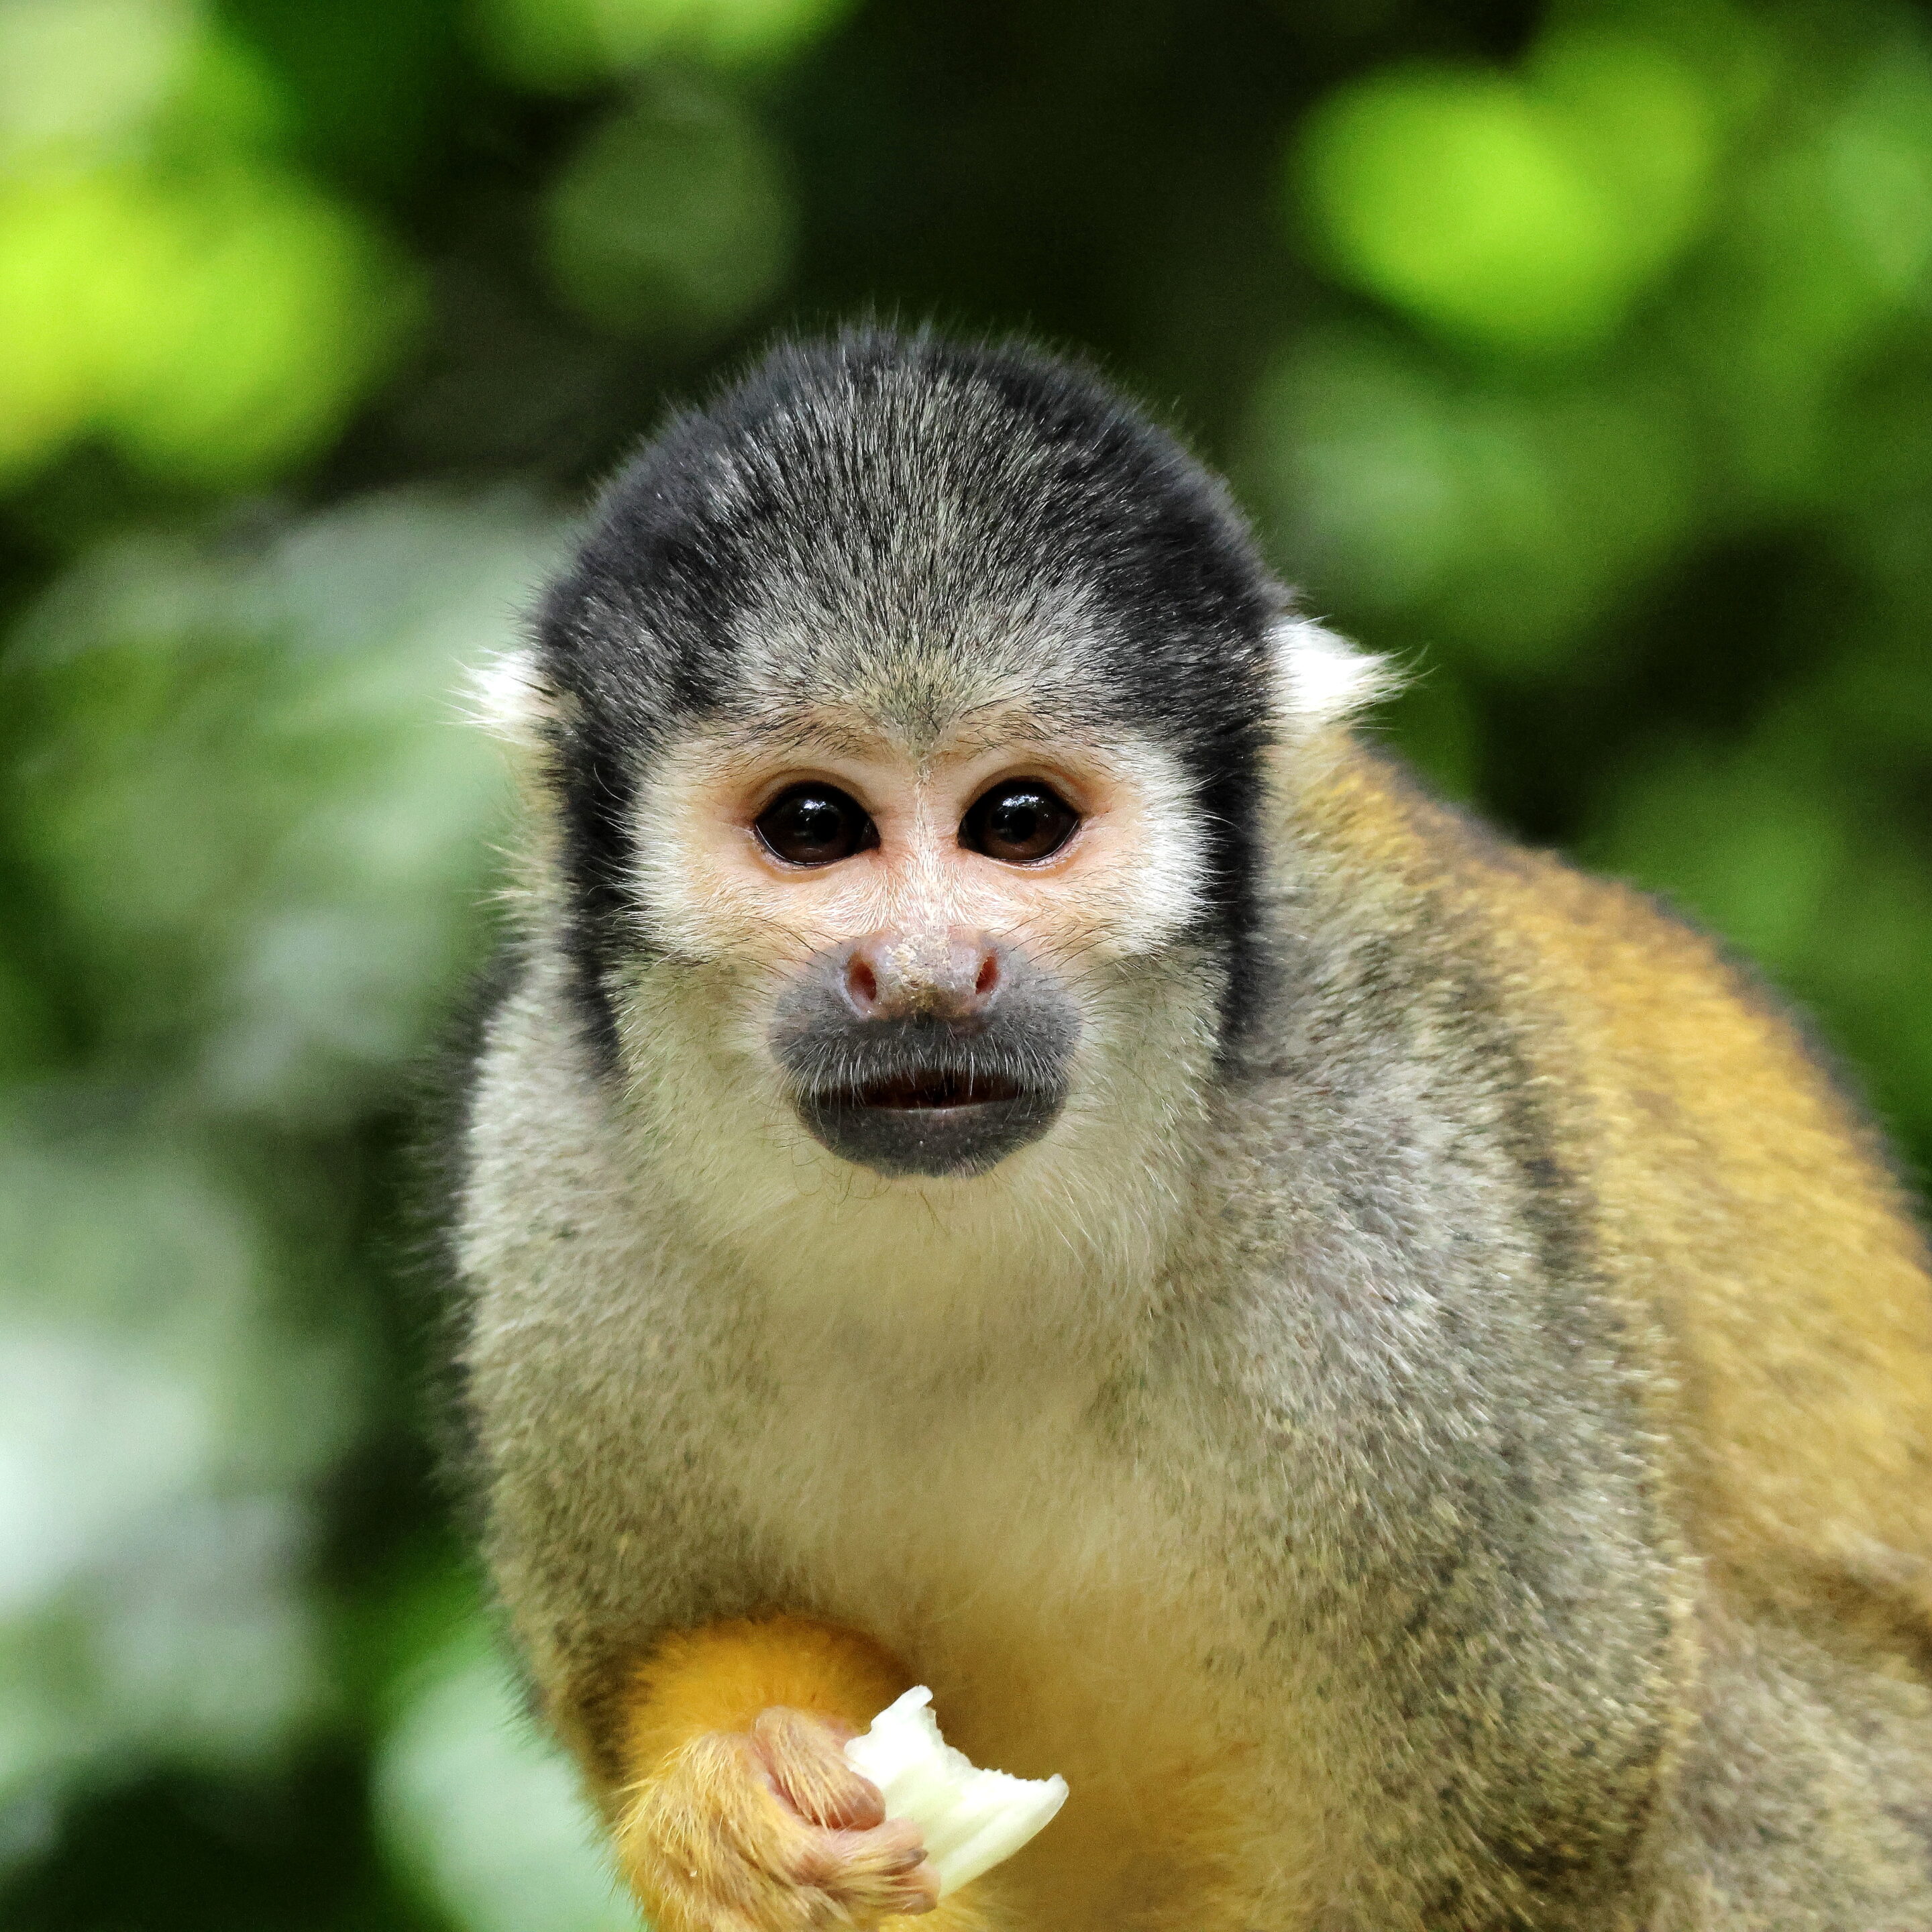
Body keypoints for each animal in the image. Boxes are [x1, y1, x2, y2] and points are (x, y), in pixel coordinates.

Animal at [447, 328, 1932, 1932]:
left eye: (1018, 821)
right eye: (815, 827)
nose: (926, 974)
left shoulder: (1400, 1207)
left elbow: (1534, 1776)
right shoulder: (552, 1156)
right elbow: (651, 1654)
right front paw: (738, 1810)